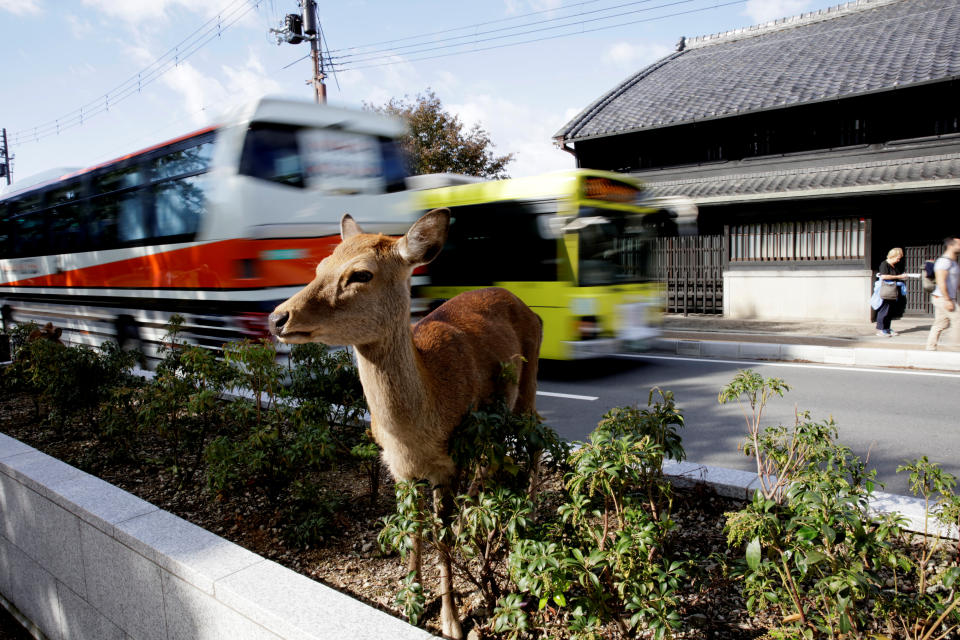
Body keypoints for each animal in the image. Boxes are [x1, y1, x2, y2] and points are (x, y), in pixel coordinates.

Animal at [268, 210, 540, 640]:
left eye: (360, 274)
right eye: (320, 265)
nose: (277, 317)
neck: (415, 432)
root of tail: (530, 308)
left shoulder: (446, 465)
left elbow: (439, 541)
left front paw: (451, 621)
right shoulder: (398, 469)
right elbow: (412, 532)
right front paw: (411, 600)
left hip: (529, 384)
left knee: (536, 438)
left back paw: (524, 511)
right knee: (491, 459)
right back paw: (473, 522)